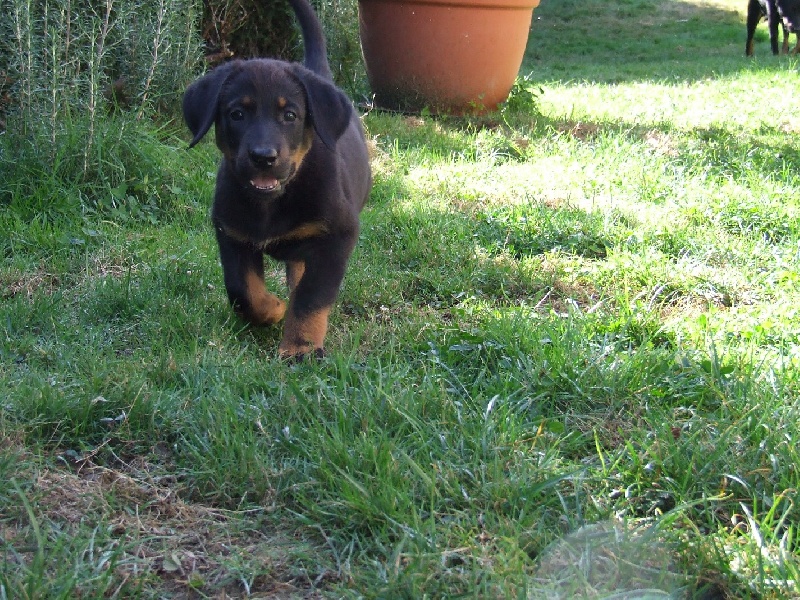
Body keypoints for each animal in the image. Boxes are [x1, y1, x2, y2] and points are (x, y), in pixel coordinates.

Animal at [182, 0, 372, 358]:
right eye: (237, 114)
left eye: (290, 115)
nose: (263, 157)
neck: (271, 204)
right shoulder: (232, 234)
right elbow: (242, 292)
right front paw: (273, 310)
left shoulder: (337, 236)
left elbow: (311, 297)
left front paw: (300, 349)